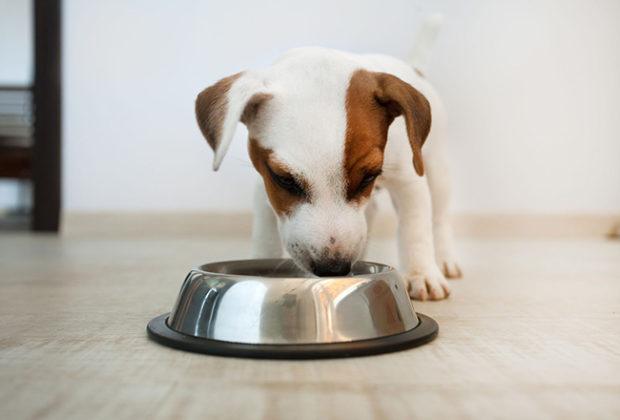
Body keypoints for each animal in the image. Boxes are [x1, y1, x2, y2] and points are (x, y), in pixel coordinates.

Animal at [194, 22, 460, 302]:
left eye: (368, 176)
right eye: (285, 180)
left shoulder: (407, 179)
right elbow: (266, 236)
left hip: (436, 169)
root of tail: (413, 67)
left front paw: (422, 273)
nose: (334, 268)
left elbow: (415, 228)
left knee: (439, 218)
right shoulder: (265, 184)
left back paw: (444, 259)